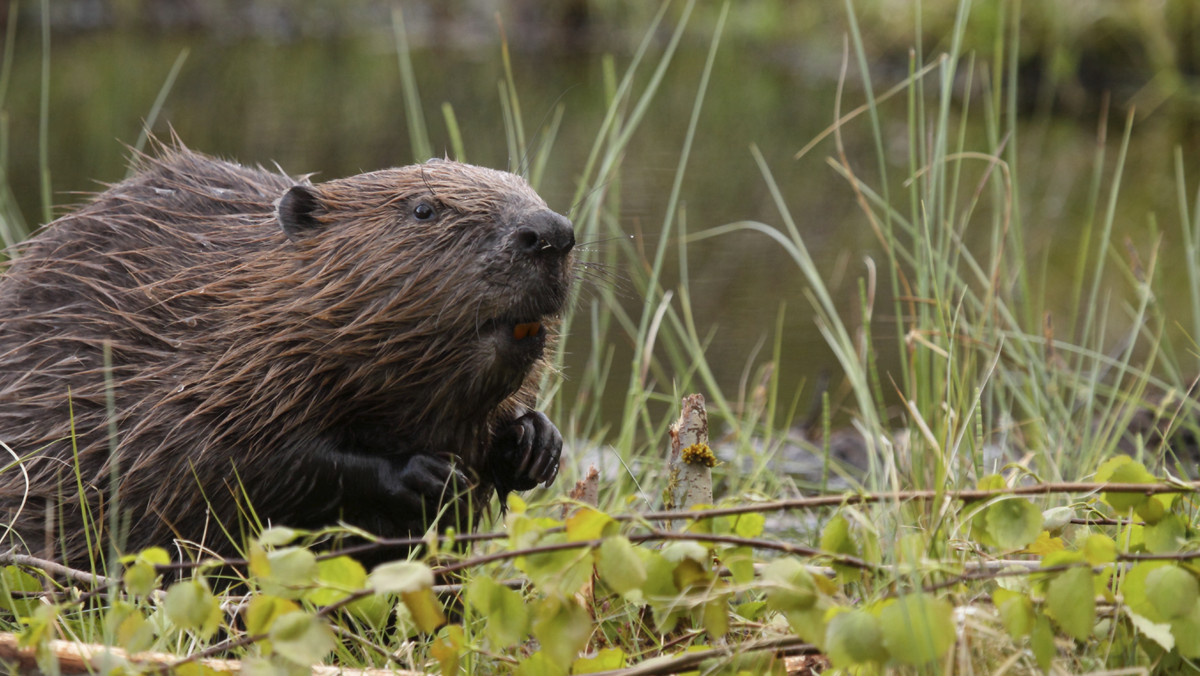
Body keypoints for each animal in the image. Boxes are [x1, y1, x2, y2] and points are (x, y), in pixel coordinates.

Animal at [0, 144, 573, 571]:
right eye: (423, 210)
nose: (551, 233)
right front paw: (427, 474)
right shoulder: (189, 372)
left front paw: (535, 443)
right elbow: (233, 462)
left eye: (526, 189)